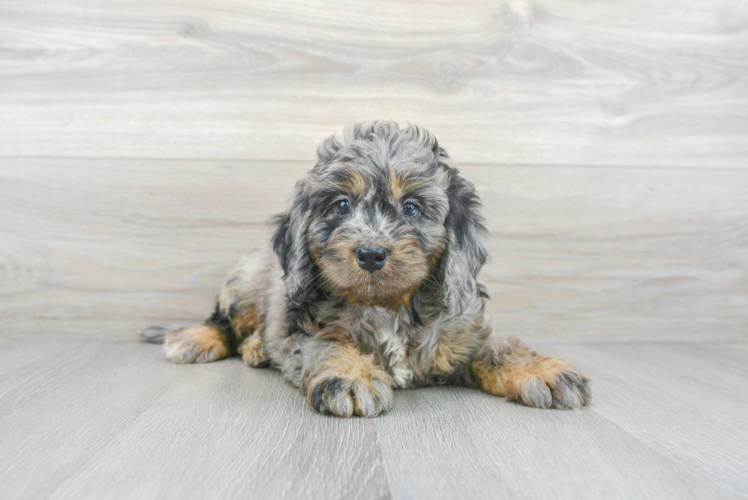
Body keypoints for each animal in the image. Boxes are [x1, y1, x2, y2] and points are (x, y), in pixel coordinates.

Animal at [145, 122, 592, 418]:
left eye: (411, 208)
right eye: (341, 205)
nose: (372, 254)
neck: (388, 305)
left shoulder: (464, 329)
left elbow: (500, 347)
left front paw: (544, 370)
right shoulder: (304, 329)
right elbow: (331, 346)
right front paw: (349, 377)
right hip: (243, 283)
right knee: (223, 322)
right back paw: (200, 340)